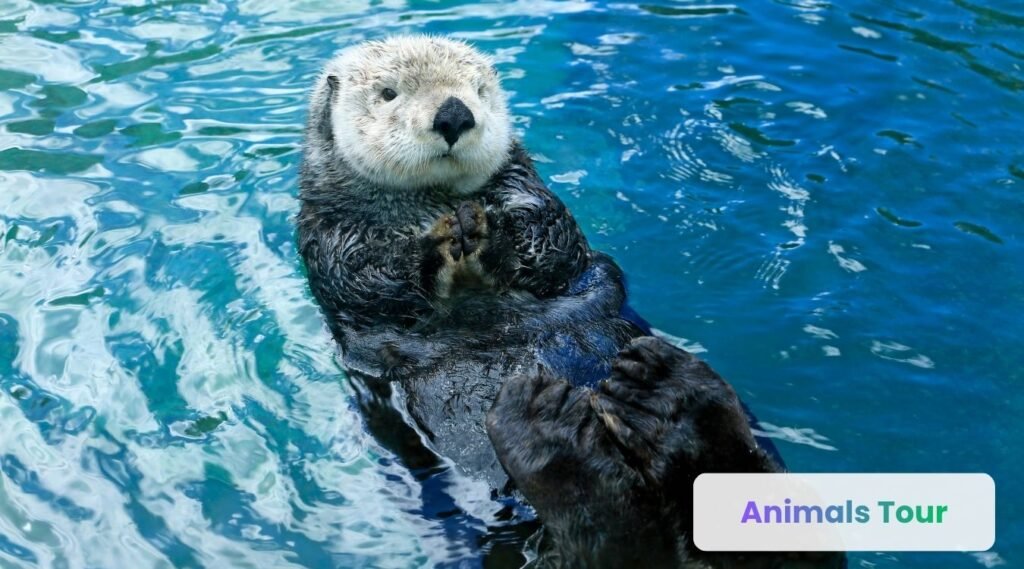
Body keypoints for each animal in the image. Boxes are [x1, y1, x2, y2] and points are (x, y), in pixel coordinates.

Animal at [297, 36, 843, 568]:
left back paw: (668, 398)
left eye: (478, 91)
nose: (454, 114)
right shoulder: (331, 241)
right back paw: (553, 430)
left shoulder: (530, 193)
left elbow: (554, 238)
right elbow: (373, 284)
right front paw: (435, 247)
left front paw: (494, 233)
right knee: (605, 540)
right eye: (388, 93)